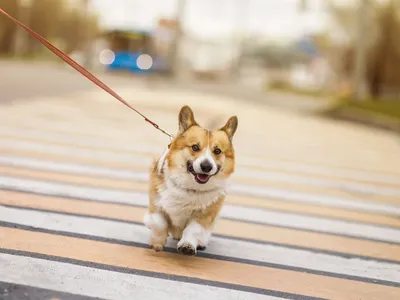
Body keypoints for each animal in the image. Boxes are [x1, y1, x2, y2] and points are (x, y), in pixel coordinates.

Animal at [144, 105, 238, 255]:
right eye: (195, 147)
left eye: (217, 151)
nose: (206, 166)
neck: (190, 187)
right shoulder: (156, 203)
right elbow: (159, 223)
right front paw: (157, 242)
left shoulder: (204, 215)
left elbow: (193, 230)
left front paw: (187, 245)